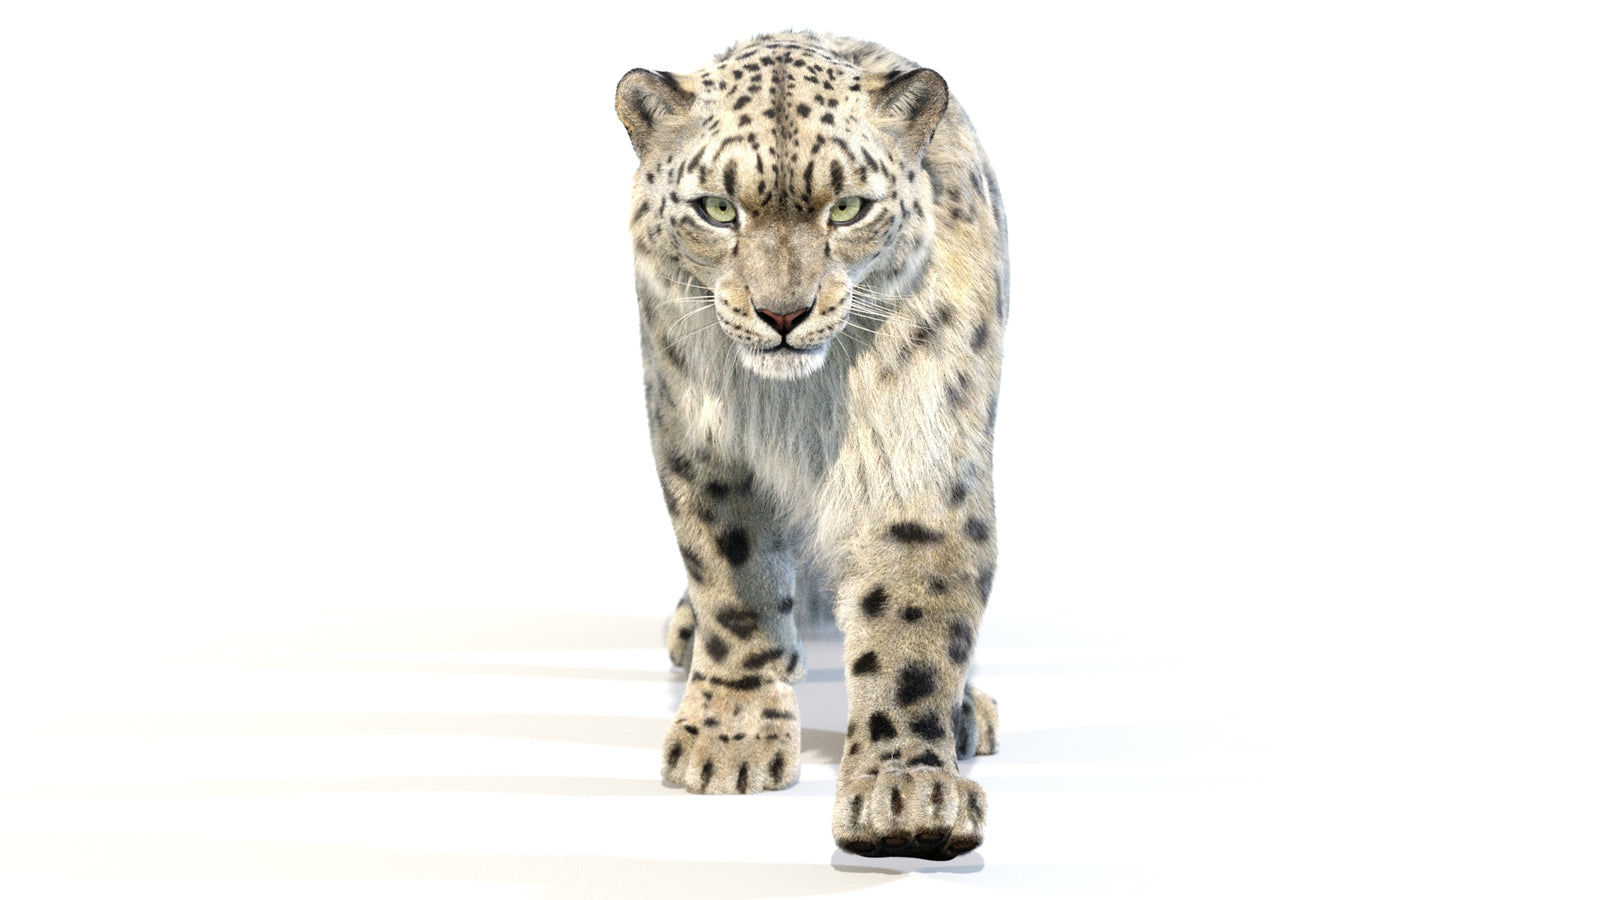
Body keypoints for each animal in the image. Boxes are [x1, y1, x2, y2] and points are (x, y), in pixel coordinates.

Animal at [616, 31, 1007, 860]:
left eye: (849, 206)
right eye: (718, 208)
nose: (783, 313)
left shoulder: (919, 452)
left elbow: (912, 622)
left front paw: (907, 795)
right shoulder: (703, 446)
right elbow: (734, 581)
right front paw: (728, 737)